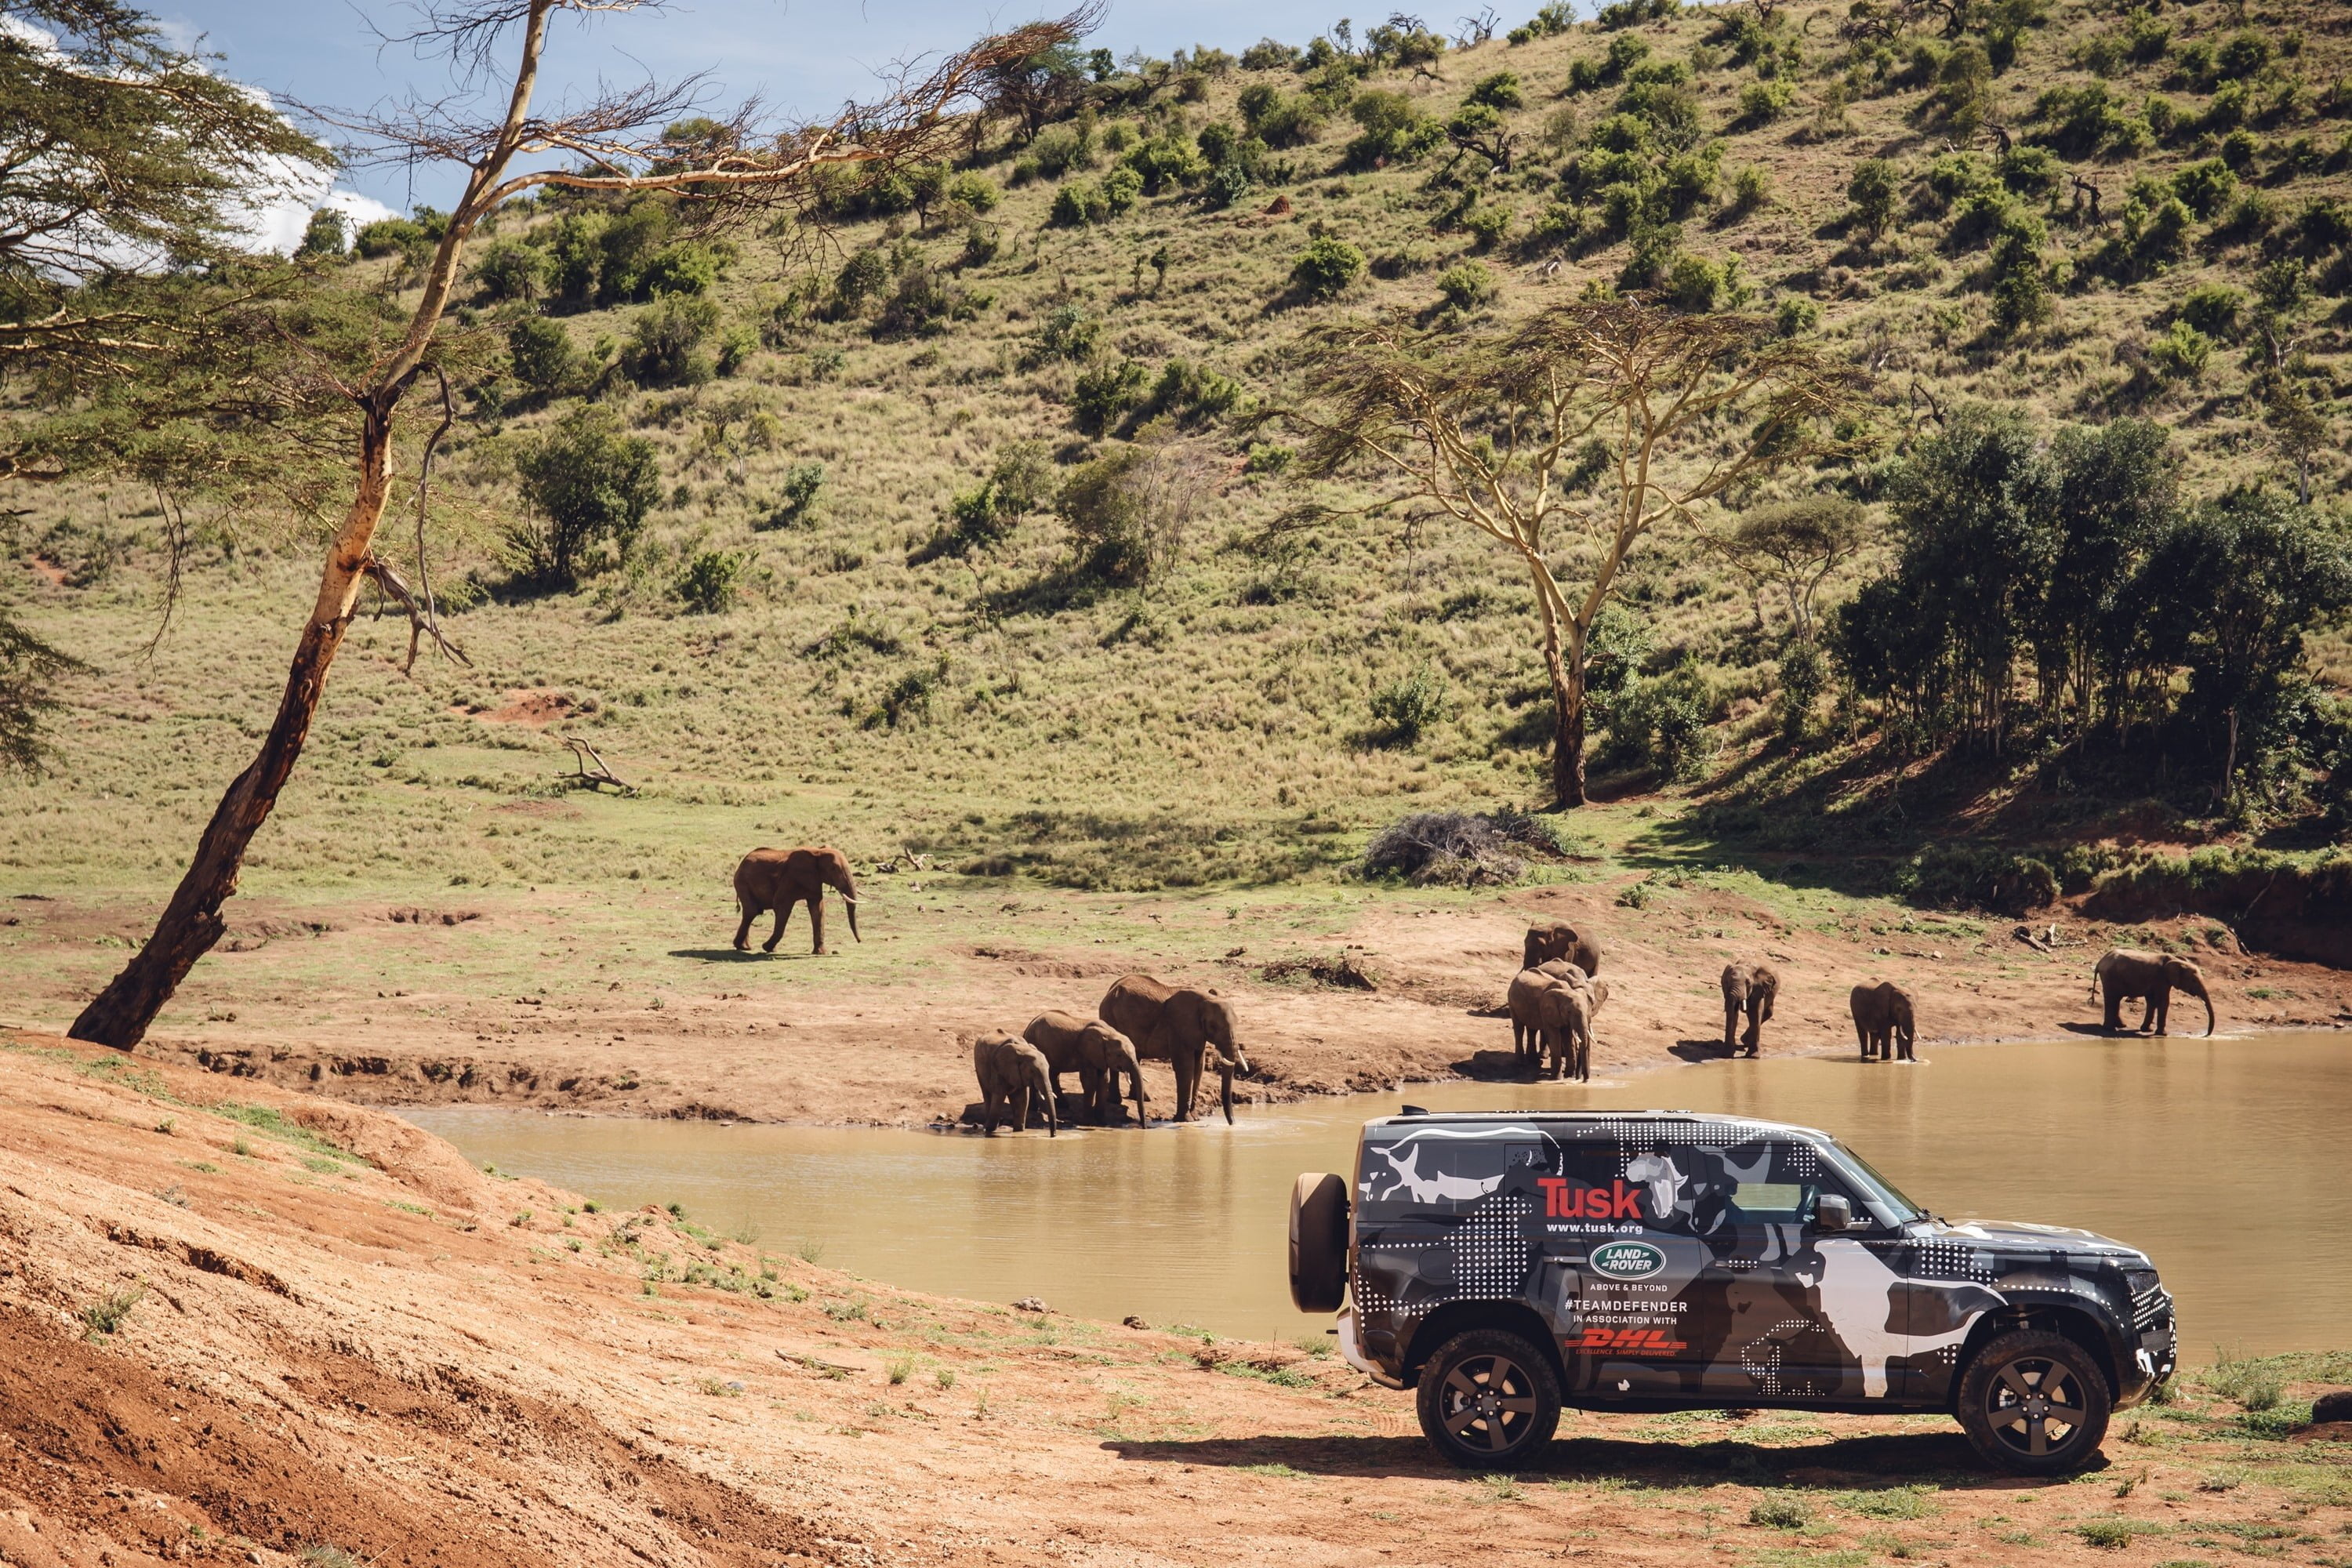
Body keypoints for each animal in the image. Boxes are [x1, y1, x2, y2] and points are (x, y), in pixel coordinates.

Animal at [729, 846, 861, 959]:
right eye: (834, 869)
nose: (860, 941)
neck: (818, 852)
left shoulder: (815, 881)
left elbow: (818, 910)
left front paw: (820, 953)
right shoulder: (790, 877)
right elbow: (781, 904)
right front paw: (766, 948)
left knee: (753, 912)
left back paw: (746, 947)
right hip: (742, 882)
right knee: (752, 911)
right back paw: (743, 947)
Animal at [1021, 1020, 1148, 1128]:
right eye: (1119, 1055)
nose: (1144, 1127)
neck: (1109, 1034)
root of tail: (1029, 1025)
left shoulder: (1100, 1057)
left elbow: (1103, 1082)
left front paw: (1102, 1123)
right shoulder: (1086, 1054)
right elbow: (1090, 1082)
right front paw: (1088, 1123)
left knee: (1053, 1074)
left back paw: (1062, 1105)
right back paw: (1034, 1109)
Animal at [1096, 973, 1251, 1123]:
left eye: (1237, 1022)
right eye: (1214, 1026)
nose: (1232, 1123)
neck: (1205, 998)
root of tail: (1110, 990)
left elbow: (1199, 1066)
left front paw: (1195, 1118)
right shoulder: (1178, 1028)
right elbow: (1186, 1067)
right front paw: (1185, 1120)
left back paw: (1142, 1098)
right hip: (1110, 1018)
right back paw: (1116, 1100)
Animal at [2089, 949, 2211, 1034]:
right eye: (2194, 980)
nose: (2207, 1034)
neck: (2177, 960)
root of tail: (2100, 962)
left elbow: (2152, 1002)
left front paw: (2147, 1030)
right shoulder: (2161, 979)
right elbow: (2163, 1002)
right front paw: (2163, 1034)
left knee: (2116, 999)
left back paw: (2121, 1026)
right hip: (2110, 976)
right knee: (2112, 999)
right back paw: (2110, 1029)